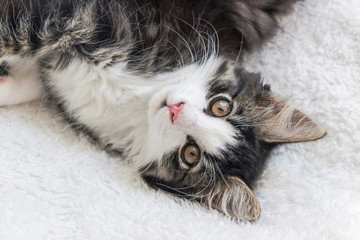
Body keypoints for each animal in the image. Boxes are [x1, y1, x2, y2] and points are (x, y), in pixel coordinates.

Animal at [0, 0, 326, 221]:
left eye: (190, 154)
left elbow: (28, 81)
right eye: (221, 106)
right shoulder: (72, 18)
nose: (176, 110)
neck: (139, 97)